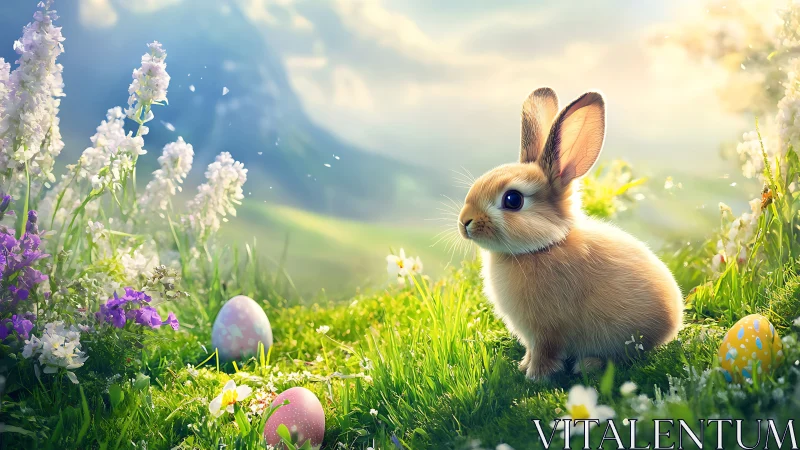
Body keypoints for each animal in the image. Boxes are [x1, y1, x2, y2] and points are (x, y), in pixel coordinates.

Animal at [457, 87, 684, 380]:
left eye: (512, 200)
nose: (465, 222)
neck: (544, 246)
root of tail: (673, 322)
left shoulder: (546, 330)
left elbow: (544, 352)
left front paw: (535, 377)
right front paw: (523, 365)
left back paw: (588, 364)